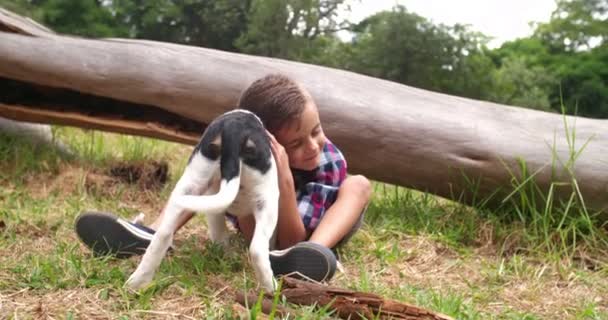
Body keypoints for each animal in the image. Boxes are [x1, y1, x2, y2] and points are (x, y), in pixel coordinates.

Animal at [128, 109, 282, 292]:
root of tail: (234, 125)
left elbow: (219, 234)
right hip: (268, 198)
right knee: (258, 249)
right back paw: (272, 289)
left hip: (192, 179)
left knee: (162, 234)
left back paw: (136, 282)